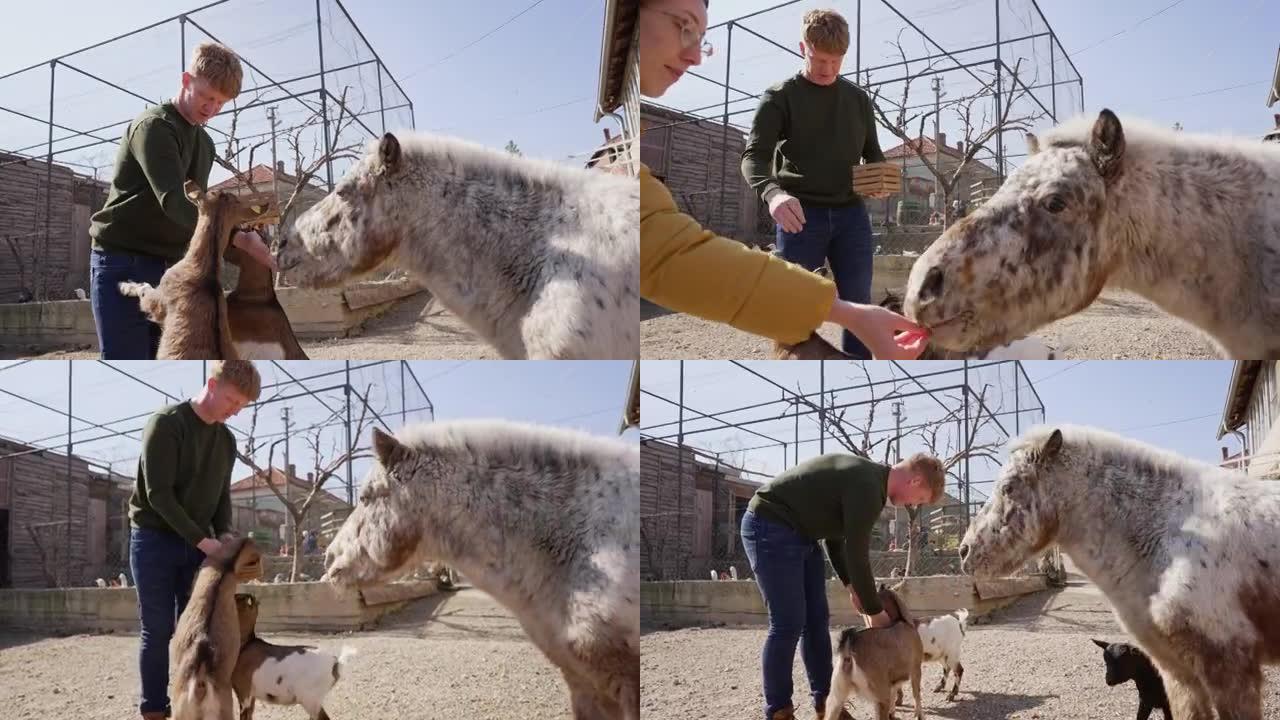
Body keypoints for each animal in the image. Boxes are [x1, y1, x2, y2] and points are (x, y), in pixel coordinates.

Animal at [824, 586, 926, 717]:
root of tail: (848, 650)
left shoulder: (892, 682)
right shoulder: (915, 669)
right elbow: (916, 694)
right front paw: (919, 715)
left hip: (836, 696)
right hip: (880, 696)